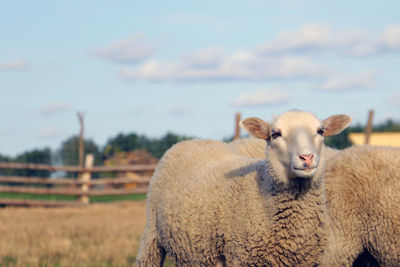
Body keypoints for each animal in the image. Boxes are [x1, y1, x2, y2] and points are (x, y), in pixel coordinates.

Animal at [137, 111, 350, 267]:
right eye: (275, 134)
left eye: (321, 131)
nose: (307, 157)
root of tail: (191, 141)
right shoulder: (241, 257)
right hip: (151, 235)